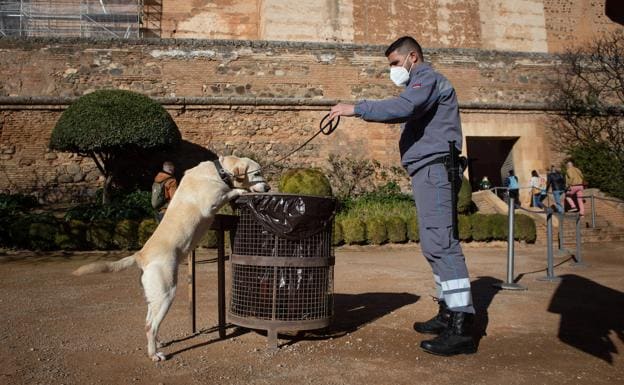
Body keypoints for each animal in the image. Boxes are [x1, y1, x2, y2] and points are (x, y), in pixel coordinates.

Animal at [72, 155, 270, 360]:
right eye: (256, 173)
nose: (268, 188)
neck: (218, 171)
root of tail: (140, 256)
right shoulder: (210, 204)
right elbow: (230, 191)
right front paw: (240, 190)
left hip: (154, 296)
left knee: (149, 321)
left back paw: (158, 343)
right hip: (166, 293)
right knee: (150, 326)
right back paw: (154, 354)